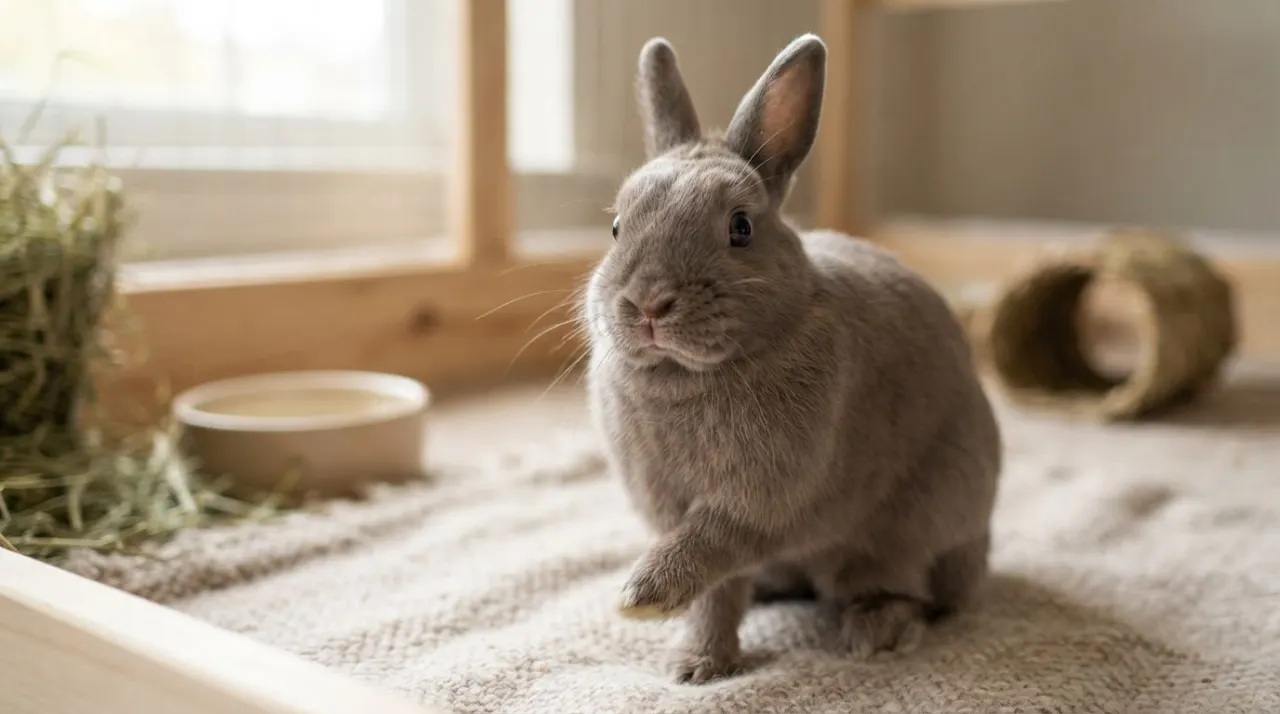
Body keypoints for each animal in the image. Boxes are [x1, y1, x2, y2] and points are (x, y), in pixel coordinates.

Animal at [581, 33, 1002, 685]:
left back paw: (877, 632)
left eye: (741, 228)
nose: (648, 303)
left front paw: (643, 598)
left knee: (901, 586)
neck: (690, 373)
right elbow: (716, 594)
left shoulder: (759, 502)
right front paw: (694, 665)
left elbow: (712, 547)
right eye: (618, 227)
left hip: (913, 528)